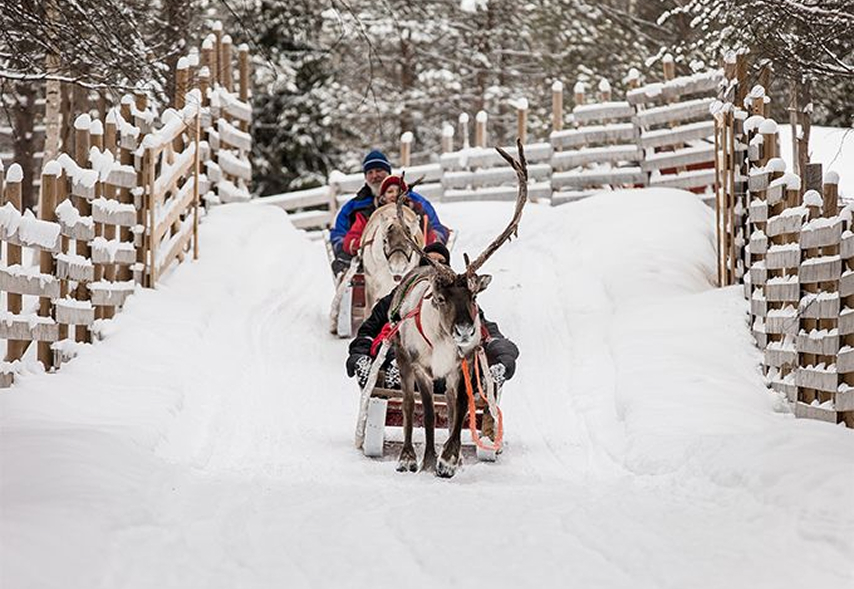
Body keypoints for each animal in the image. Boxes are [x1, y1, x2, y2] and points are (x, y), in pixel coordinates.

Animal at [387, 140, 528, 478]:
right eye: (440, 298)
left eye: (474, 297)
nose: (465, 330)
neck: (441, 341)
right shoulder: (422, 368)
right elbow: (425, 414)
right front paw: (426, 461)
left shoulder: (462, 364)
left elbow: (461, 409)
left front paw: (449, 460)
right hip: (402, 358)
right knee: (409, 405)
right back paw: (409, 457)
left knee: (451, 408)